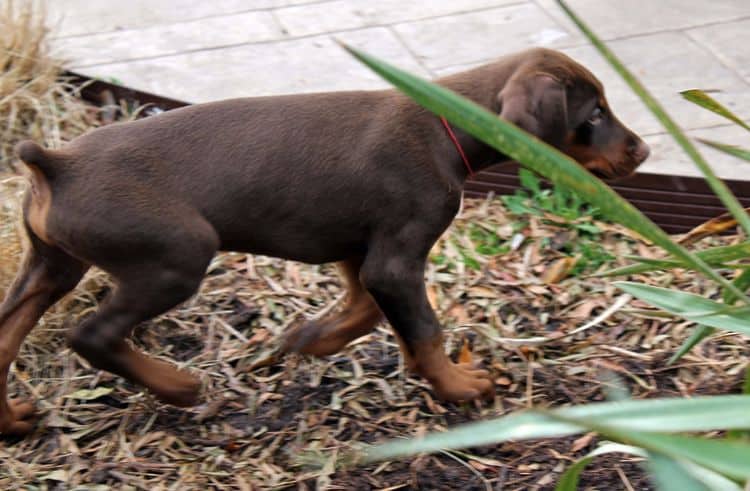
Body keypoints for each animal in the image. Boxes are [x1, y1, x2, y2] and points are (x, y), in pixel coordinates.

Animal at [0, 48, 648, 436]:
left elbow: (366, 312)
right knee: (93, 334)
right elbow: (424, 327)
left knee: (6, 338)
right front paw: (457, 386)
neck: (444, 129)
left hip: (50, 266)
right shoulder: (395, 258)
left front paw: (308, 340)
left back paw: (11, 421)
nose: (643, 150)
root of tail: (55, 162)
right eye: (594, 114)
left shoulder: (355, 250)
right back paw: (179, 386)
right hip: (175, 258)